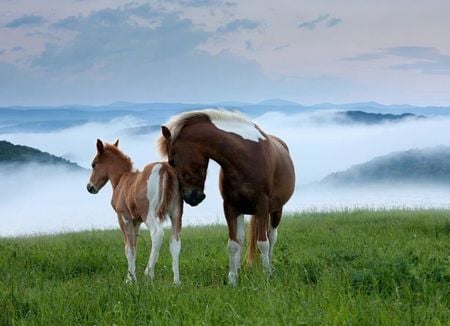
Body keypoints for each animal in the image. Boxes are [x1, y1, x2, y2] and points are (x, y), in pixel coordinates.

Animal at [87, 139, 182, 284]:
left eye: (93, 164)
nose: (90, 187)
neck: (121, 180)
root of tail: (165, 168)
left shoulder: (124, 218)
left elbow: (129, 249)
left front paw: (130, 280)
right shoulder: (136, 221)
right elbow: (134, 247)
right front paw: (132, 277)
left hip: (149, 213)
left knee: (157, 234)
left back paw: (148, 274)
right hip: (176, 212)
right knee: (175, 243)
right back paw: (176, 281)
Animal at [158, 109, 296, 286]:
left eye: (172, 161)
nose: (192, 197)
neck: (246, 157)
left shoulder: (262, 207)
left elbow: (263, 243)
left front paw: (266, 275)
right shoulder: (230, 207)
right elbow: (233, 244)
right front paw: (232, 278)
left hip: (276, 210)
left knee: (272, 237)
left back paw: (270, 267)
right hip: (243, 210)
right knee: (242, 238)